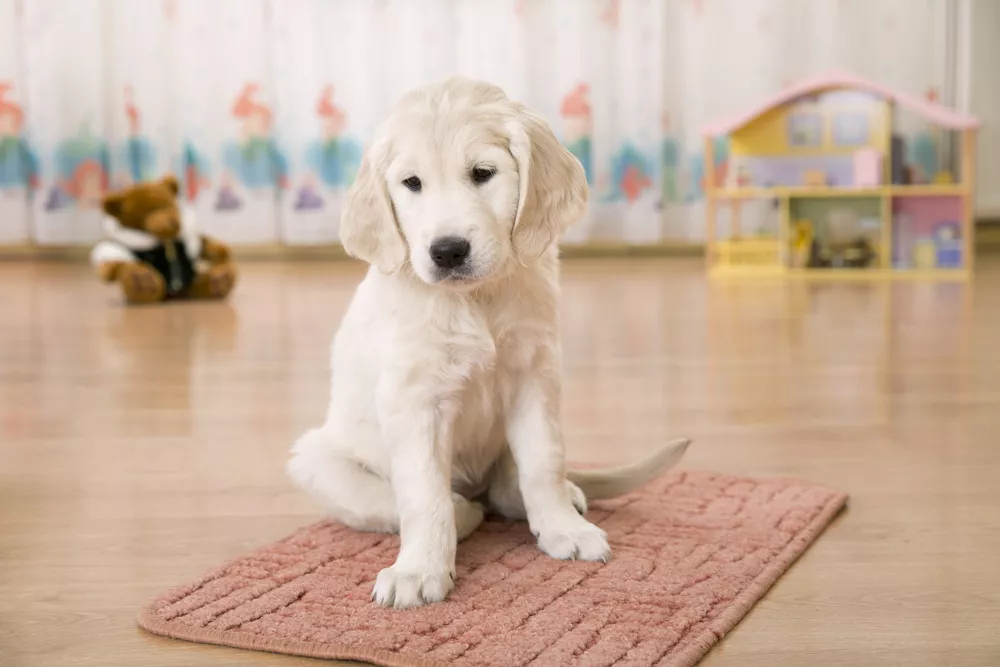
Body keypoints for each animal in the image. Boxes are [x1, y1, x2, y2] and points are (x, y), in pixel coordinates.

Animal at [290, 75, 688, 608]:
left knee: (507, 489)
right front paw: (419, 570)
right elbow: (423, 494)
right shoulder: (415, 400)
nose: (447, 251)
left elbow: (544, 462)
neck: (475, 299)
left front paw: (563, 528)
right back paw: (463, 513)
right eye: (411, 183)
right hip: (317, 459)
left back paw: (563, 500)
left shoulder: (534, 377)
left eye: (482, 173)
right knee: (435, 504)